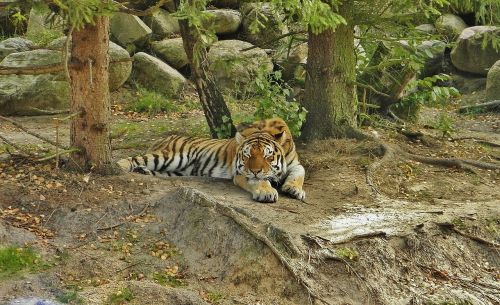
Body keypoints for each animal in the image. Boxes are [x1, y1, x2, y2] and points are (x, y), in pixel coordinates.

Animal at [117, 117, 304, 202]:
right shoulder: (241, 172)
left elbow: (299, 173)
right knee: (134, 158)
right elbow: (259, 180)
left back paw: (143, 171)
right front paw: (267, 192)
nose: (255, 170)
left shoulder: (295, 163)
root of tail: (164, 138)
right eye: (247, 155)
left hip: (176, 171)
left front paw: (294, 189)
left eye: (268, 156)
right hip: (172, 157)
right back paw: (121, 166)